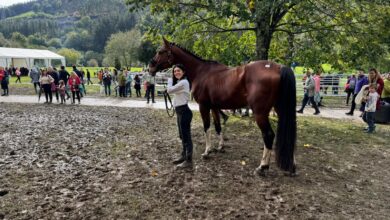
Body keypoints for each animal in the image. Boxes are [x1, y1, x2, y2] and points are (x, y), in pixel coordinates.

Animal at [149, 37, 296, 175]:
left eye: (160, 51)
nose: (150, 68)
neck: (201, 71)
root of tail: (279, 67)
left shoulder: (204, 106)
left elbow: (207, 127)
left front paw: (207, 151)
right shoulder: (214, 107)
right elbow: (218, 127)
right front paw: (220, 147)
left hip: (260, 113)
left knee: (269, 135)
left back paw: (263, 167)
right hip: (280, 109)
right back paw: (291, 166)